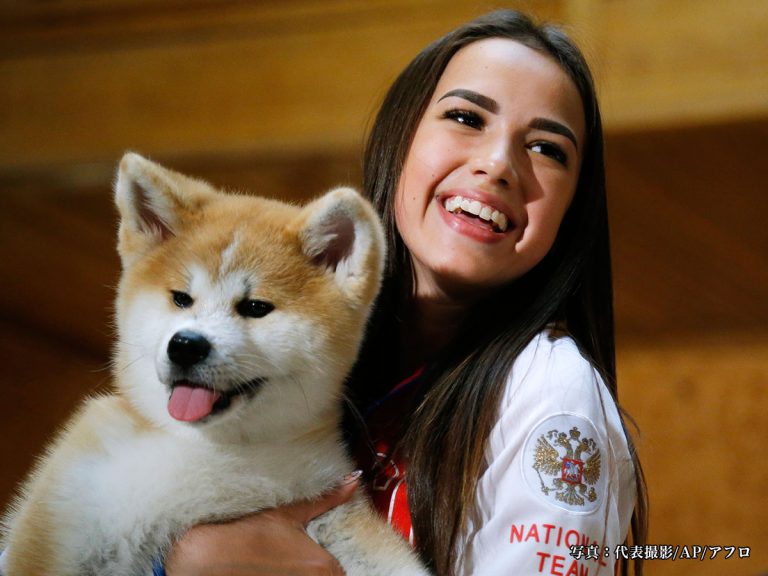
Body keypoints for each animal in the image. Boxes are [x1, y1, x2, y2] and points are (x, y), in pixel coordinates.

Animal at [0, 153, 426, 576]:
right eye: (181, 298)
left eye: (255, 307)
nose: (186, 346)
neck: (210, 452)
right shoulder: (58, 524)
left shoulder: (336, 509)